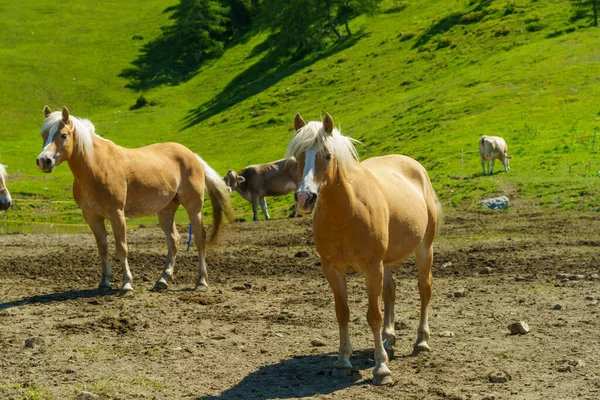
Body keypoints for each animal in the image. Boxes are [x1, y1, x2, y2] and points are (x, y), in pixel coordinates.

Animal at [35, 106, 234, 294]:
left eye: (63, 135)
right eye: (44, 134)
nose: (44, 160)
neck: (96, 166)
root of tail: (192, 155)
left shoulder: (117, 214)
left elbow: (122, 248)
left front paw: (126, 284)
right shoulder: (92, 216)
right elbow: (103, 248)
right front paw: (105, 282)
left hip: (193, 207)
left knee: (200, 238)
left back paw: (201, 281)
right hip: (166, 210)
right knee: (174, 240)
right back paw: (162, 280)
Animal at [288, 111, 442, 384]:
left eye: (327, 156)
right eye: (298, 156)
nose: (305, 197)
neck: (346, 211)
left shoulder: (372, 268)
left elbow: (374, 316)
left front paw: (381, 367)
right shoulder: (332, 270)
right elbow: (343, 313)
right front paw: (342, 361)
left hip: (424, 249)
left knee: (424, 289)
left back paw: (421, 341)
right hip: (387, 261)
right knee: (391, 291)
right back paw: (389, 339)